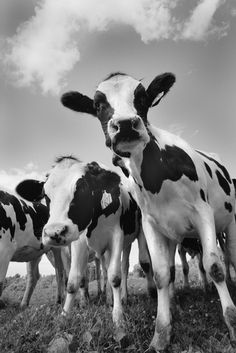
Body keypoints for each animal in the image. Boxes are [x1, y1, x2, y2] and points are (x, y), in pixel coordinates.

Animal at [60, 71, 236, 350]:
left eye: (141, 97)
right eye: (98, 105)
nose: (125, 125)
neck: (158, 177)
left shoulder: (203, 213)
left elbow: (215, 267)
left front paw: (232, 325)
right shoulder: (151, 224)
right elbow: (162, 274)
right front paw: (161, 334)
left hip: (229, 223)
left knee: (230, 256)